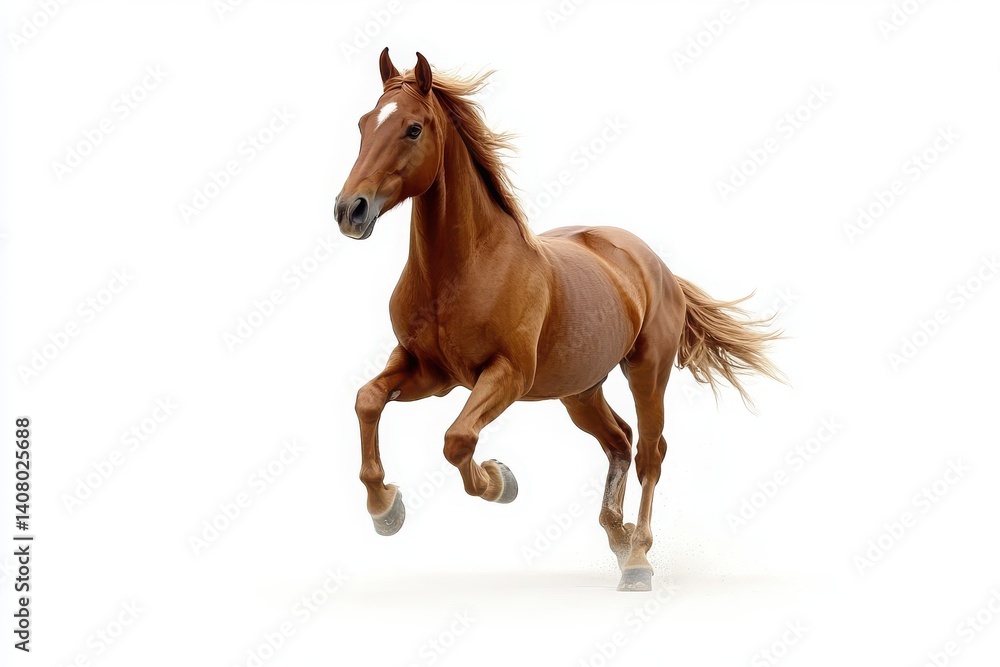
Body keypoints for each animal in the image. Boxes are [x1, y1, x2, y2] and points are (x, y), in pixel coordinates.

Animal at [334, 49, 783, 591]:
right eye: (363, 123)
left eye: (413, 129)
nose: (349, 210)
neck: (463, 269)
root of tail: (654, 263)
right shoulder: (427, 371)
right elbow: (367, 400)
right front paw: (385, 509)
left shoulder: (506, 375)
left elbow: (458, 440)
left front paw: (500, 480)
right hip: (579, 391)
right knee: (619, 441)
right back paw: (617, 537)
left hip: (647, 373)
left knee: (650, 454)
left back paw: (637, 560)